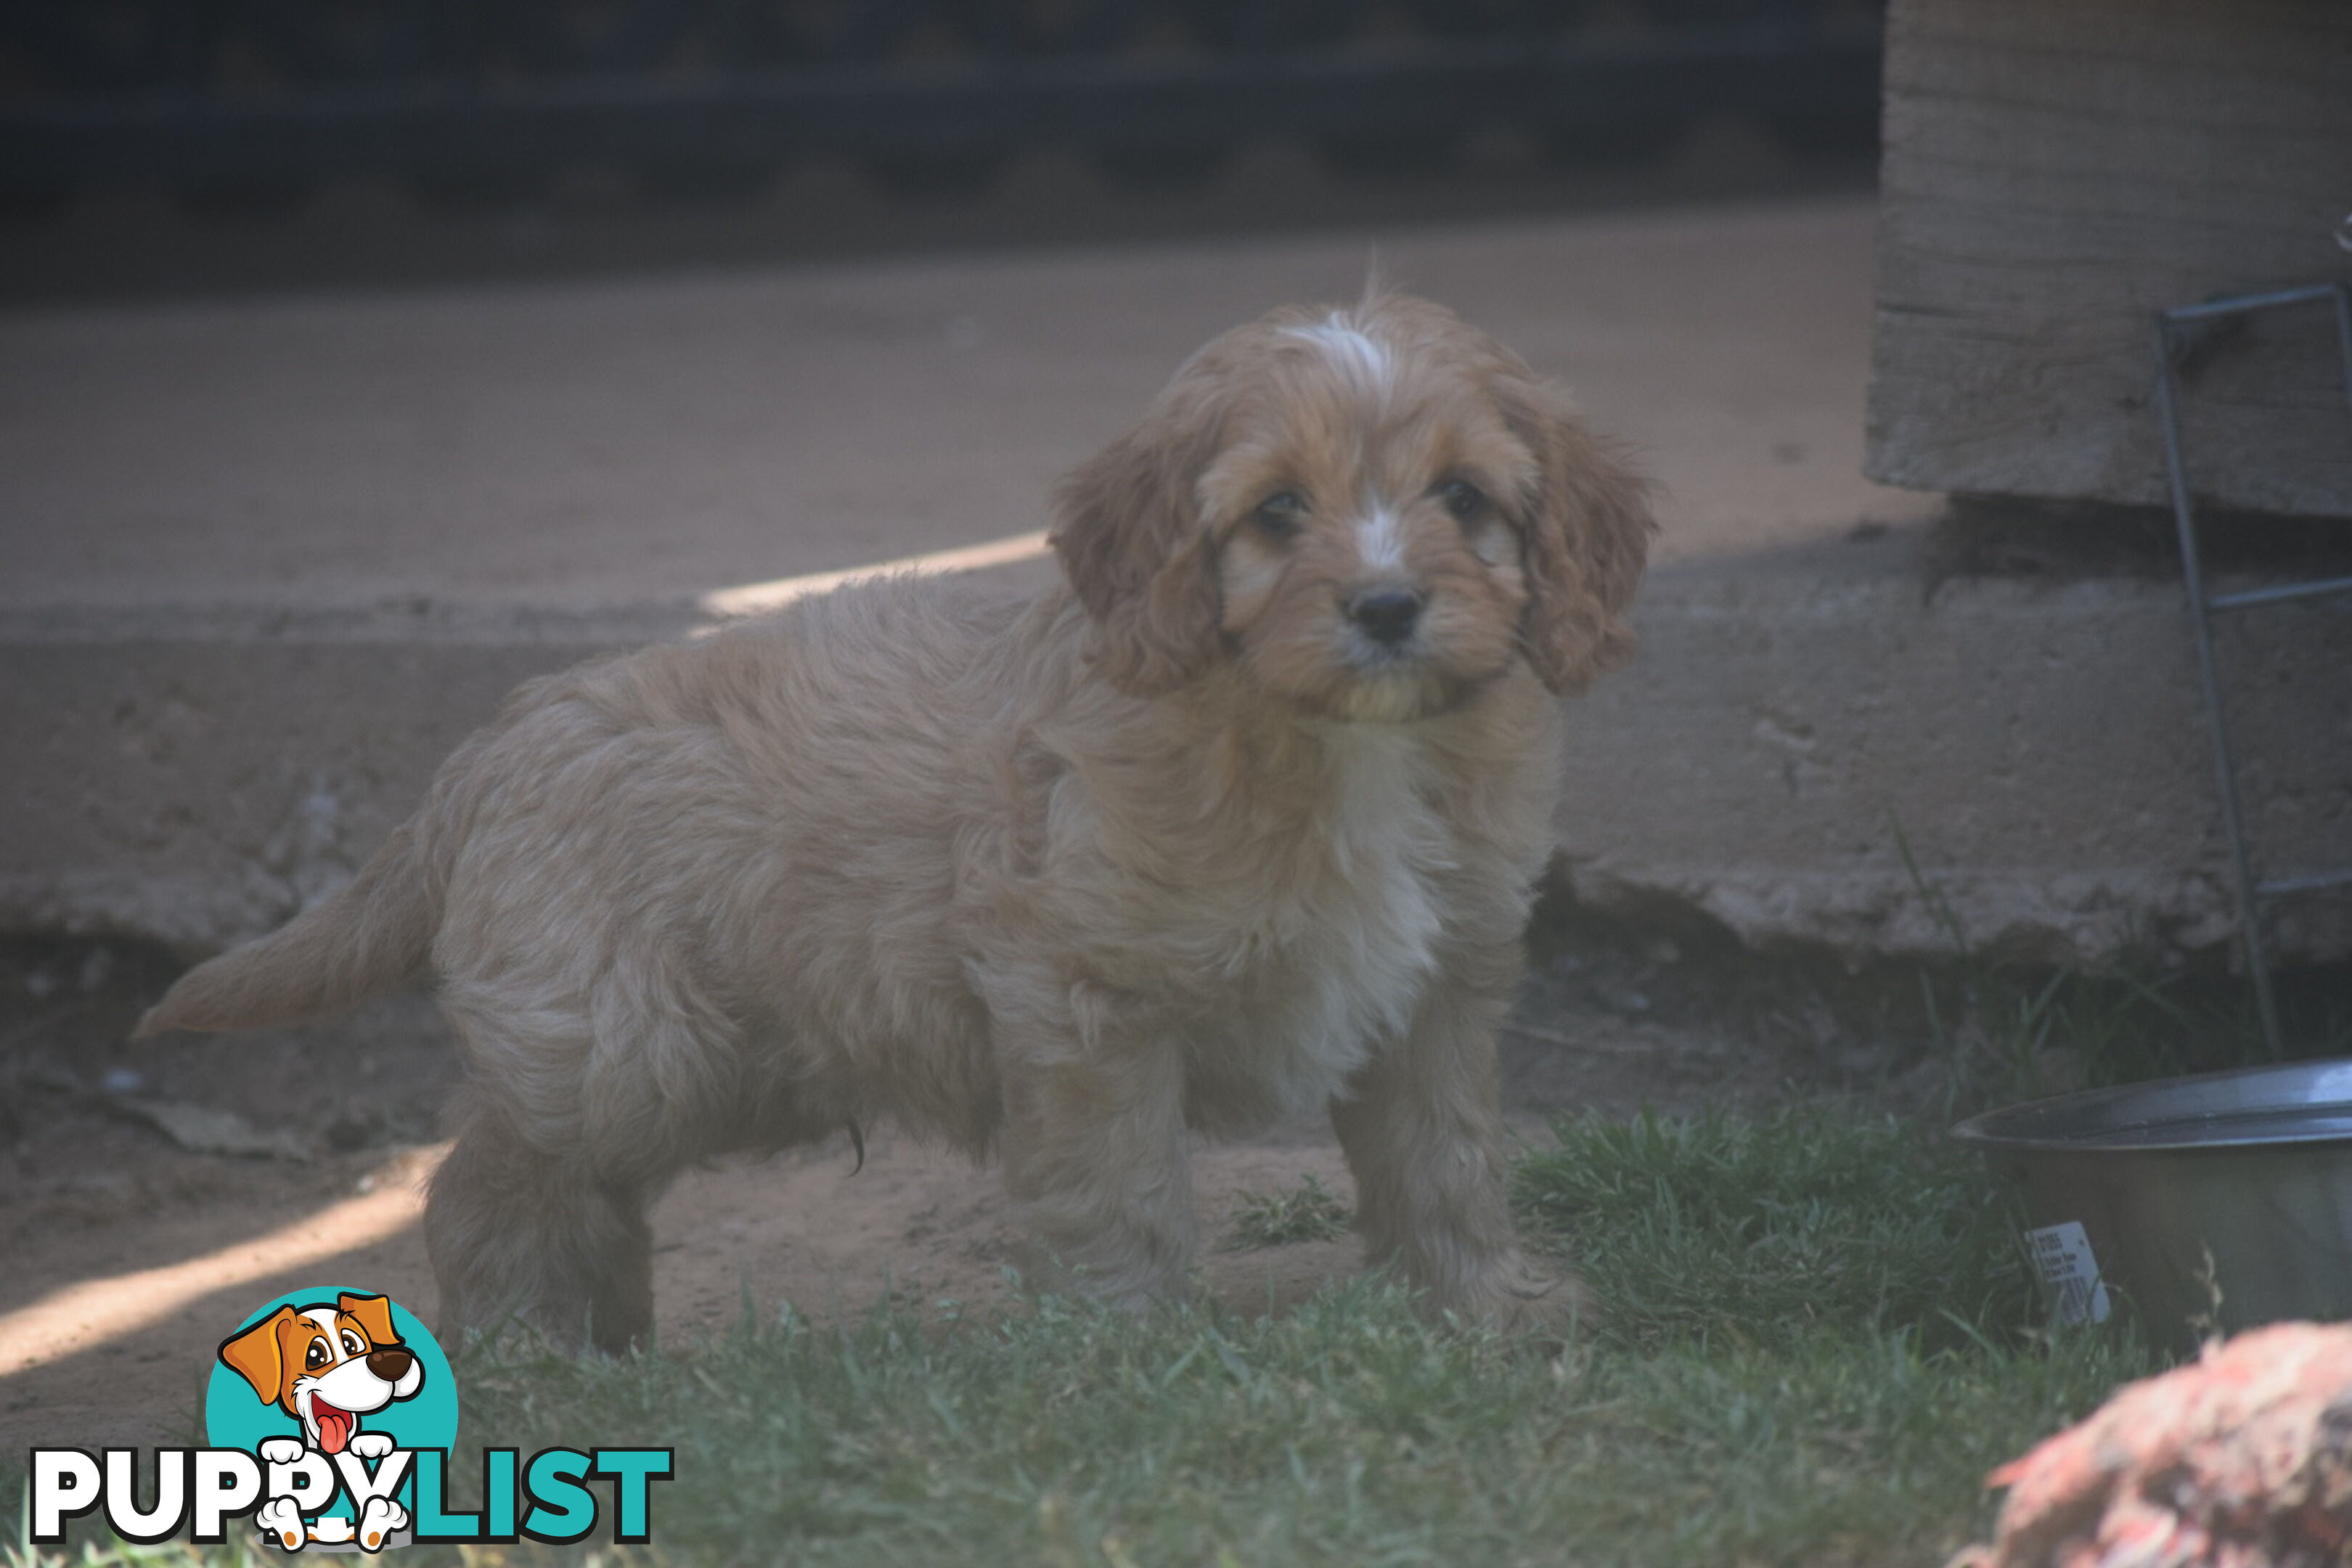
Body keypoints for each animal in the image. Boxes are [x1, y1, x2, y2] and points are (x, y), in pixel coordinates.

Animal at [142, 301, 1655, 1354]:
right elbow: (1119, 1189)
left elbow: (1444, 1165)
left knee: (577, 1195)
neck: (1336, 741)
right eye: (1280, 512)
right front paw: (1133, 1352)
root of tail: (493, 743)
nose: (1389, 607)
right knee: (483, 1187)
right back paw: (532, 1361)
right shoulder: (1083, 998)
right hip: (631, 1048)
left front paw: (1480, 1314)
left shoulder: (1436, 987)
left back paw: (613, 1355)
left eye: (1464, 498)